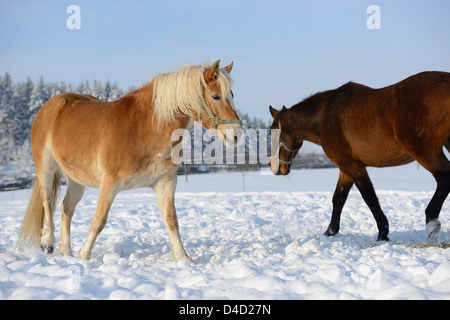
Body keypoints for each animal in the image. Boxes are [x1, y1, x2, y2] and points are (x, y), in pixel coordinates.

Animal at [16, 60, 243, 262]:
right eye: (216, 96)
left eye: (232, 95)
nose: (237, 135)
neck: (145, 129)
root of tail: (50, 105)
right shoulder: (109, 184)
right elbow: (99, 220)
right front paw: (84, 256)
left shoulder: (165, 183)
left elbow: (172, 220)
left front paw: (183, 258)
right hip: (46, 168)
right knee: (47, 201)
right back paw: (49, 242)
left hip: (76, 179)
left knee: (66, 208)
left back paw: (66, 252)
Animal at [270, 72, 450, 240]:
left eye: (274, 135)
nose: (276, 168)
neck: (325, 116)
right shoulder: (346, 166)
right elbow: (338, 198)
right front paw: (330, 232)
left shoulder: (351, 165)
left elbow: (368, 196)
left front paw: (382, 233)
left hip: (423, 150)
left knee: (444, 177)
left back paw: (431, 222)